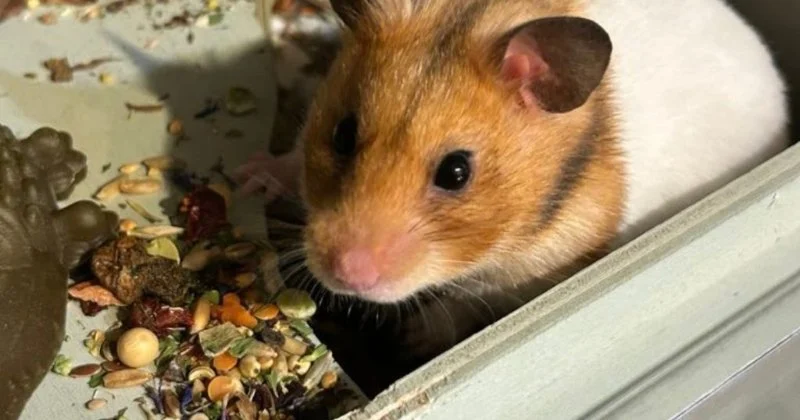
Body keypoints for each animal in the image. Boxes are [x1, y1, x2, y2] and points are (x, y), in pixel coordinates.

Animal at [238, 0, 789, 366]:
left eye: (456, 172)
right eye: (342, 134)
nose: (344, 274)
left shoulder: (532, 275)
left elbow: (465, 302)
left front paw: (414, 337)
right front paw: (250, 174)